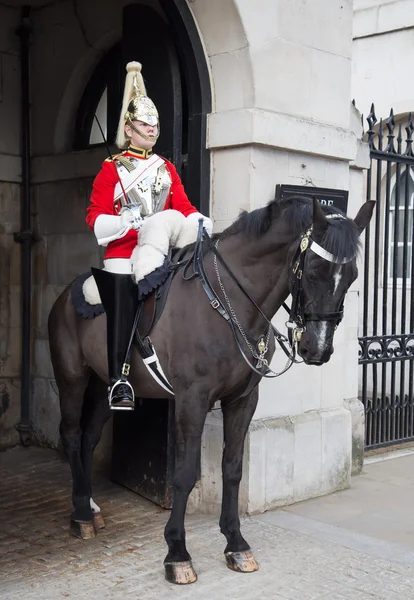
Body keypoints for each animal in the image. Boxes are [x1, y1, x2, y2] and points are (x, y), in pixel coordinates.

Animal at [47, 196, 374, 580]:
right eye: (312, 272)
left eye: (352, 276)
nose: (317, 349)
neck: (230, 302)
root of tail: (67, 293)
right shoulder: (193, 400)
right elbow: (185, 473)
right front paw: (177, 551)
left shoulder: (243, 399)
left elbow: (232, 467)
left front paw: (236, 543)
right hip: (72, 378)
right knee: (71, 434)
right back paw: (81, 514)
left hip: (103, 385)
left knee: (88, 437)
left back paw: (89, 503)